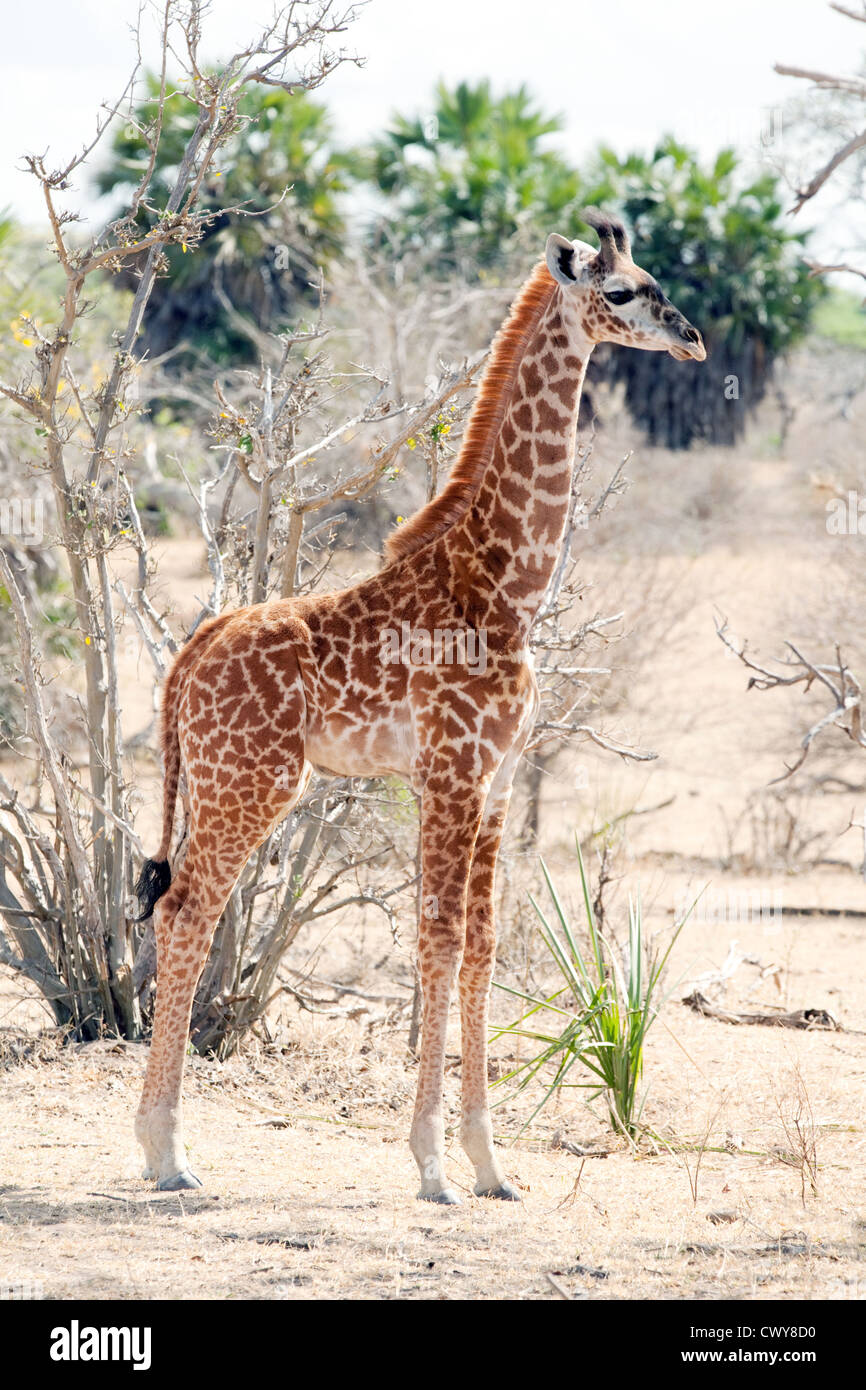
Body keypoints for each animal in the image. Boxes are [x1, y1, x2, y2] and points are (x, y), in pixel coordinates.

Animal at [134, 208, 706, 1206]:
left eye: (657, 283)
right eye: (624, 290)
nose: (693, 339)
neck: (506, 586)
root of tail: (191, 654)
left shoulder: (498, 783)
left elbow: (481, 946)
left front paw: (491, 1166)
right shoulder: (450, 772)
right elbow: (435, 940)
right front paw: (434, 1165)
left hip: (214, 777)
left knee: (183, 907)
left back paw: (160, 1145)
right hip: (253, 779)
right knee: (188, 912)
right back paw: (167, 1154)